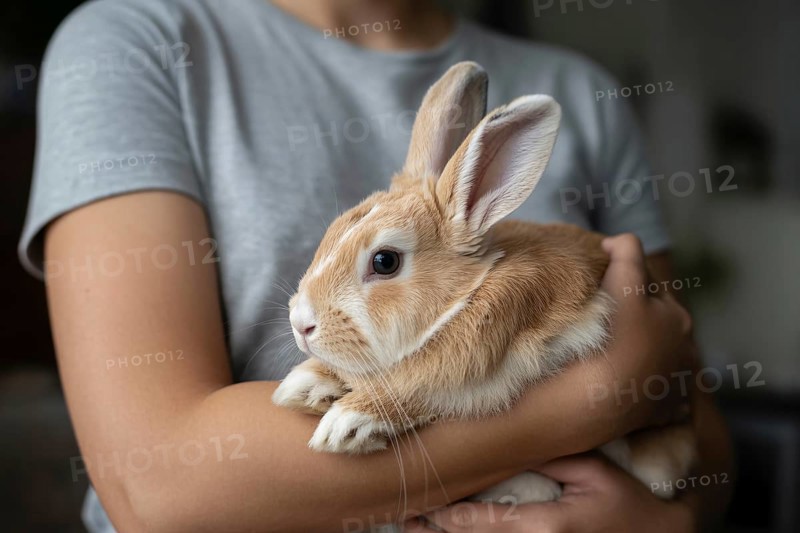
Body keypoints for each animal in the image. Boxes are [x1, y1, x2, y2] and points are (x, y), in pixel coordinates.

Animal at [272, 61, 696, 507]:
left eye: (385, 261)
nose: (301, 323)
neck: (464, 298)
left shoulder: (478, 374)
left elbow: (415, 386)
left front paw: (346, 422)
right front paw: (303, 385)